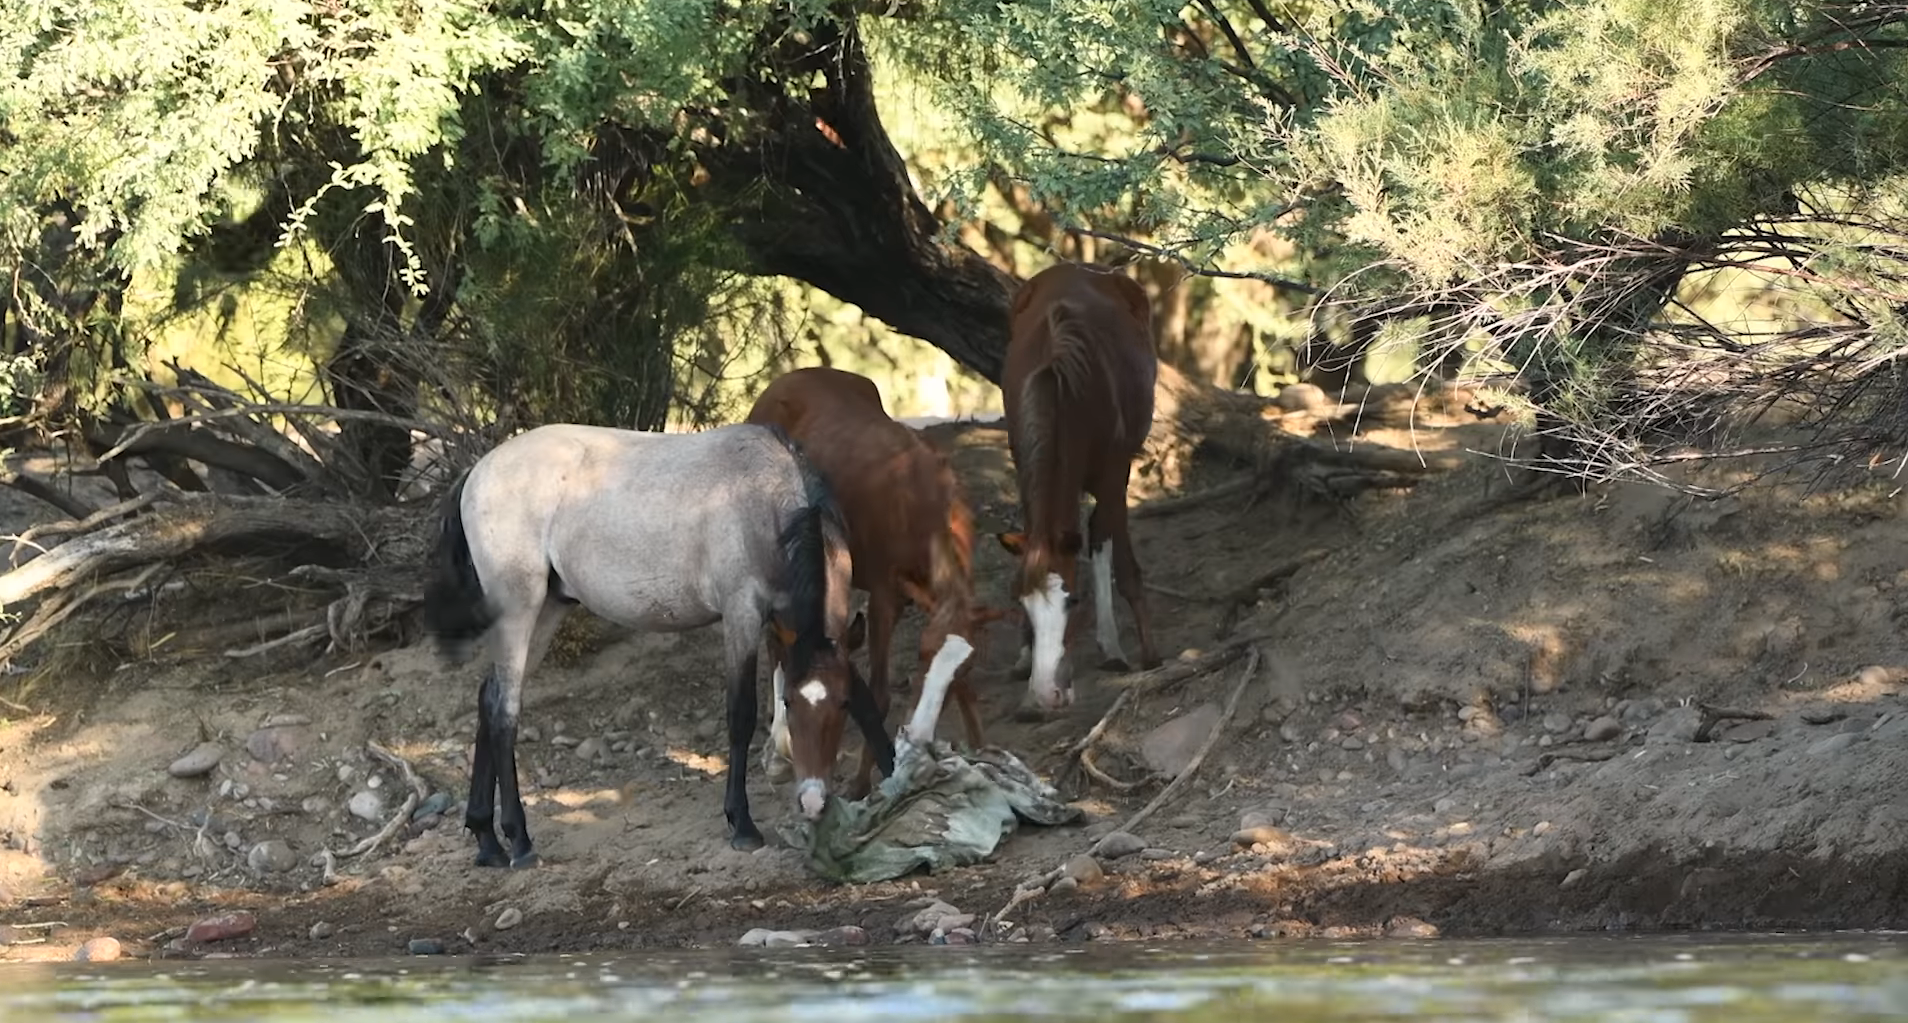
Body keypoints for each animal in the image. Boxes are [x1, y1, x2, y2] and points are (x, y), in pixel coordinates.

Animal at [421, 422, 894, 867]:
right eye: (790, 705)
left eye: (840, 707)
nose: (813, 801)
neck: (765, 502)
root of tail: (477, 472)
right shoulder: (741, 615)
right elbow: (741, 715)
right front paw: (741, 824)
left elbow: (869, 702)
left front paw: (894, 778)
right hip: (520, 609)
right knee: (505, 712)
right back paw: (518, 840)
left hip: (547, 610)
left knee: (489, 697)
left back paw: (486, 839)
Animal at [745, 366, 1005, 798]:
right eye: (921, 655)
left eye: (962, 667)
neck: (925, 505)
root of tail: (784, 379)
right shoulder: (886, 597)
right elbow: (879, 695)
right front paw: (863, 780)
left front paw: (982, 750)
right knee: (774, 639)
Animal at [996, 261, 1163, 712]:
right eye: (1021, 603)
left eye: (1072, 601)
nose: (1044, 696)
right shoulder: (1025, 465)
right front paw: (1023, 654)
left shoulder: (1114, 470)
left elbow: (1115, 553)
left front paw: (1142, 653)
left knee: (1101, 534)